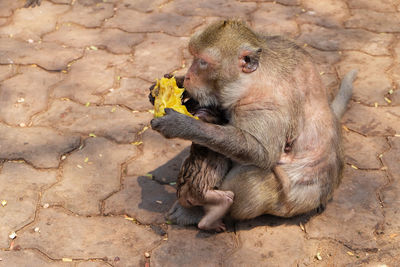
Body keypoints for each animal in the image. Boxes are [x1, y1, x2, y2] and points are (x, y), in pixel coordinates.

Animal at [151, 20, 356, 232]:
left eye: (202, 62)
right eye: (193, 57)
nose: (189, 76)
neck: (251, 78)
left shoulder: (266, 104)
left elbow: (262, 154)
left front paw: (181, 125)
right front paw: (171, 87)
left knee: (248, 176)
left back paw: (200, 213)